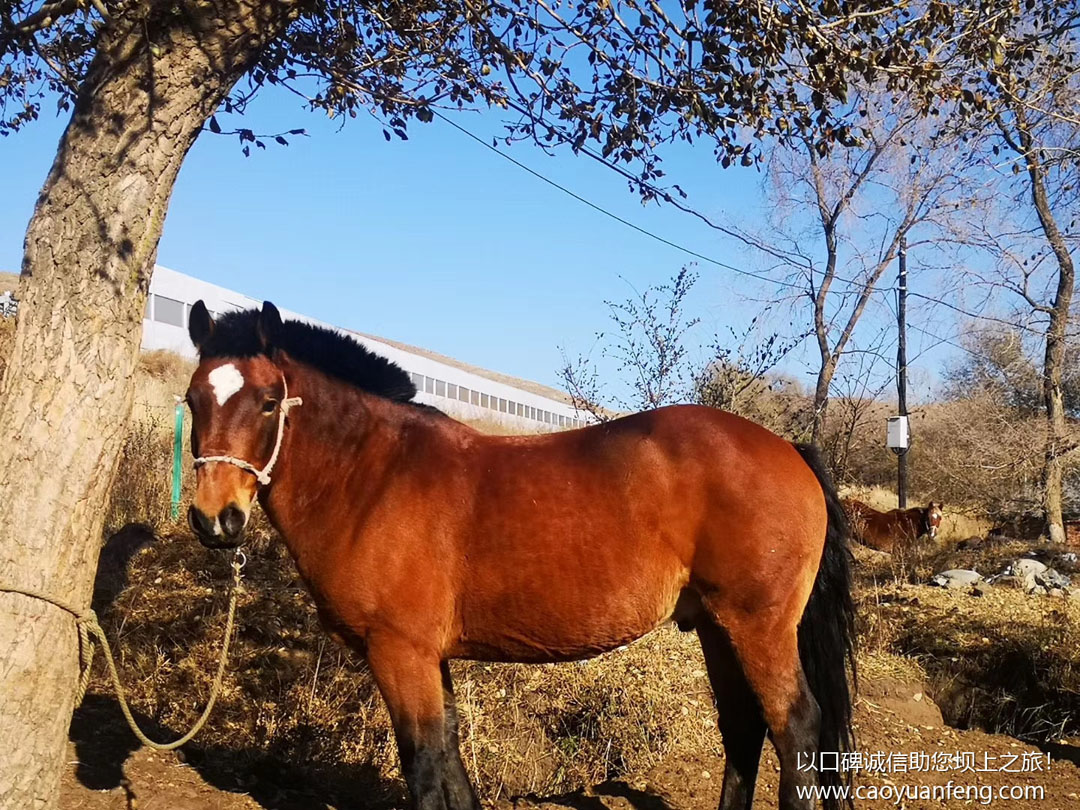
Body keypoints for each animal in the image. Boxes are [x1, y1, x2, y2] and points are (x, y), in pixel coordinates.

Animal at [185, 302, 855, 810]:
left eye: (268, 401)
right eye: (194, 400)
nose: (216, 518)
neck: (373, 476)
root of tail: (789, 450)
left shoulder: (399, 652)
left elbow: (424, 765)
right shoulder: (429, 656)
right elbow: (450, 758)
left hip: (758, 627)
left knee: (796, 727)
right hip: (717, 627)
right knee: (743, 729)